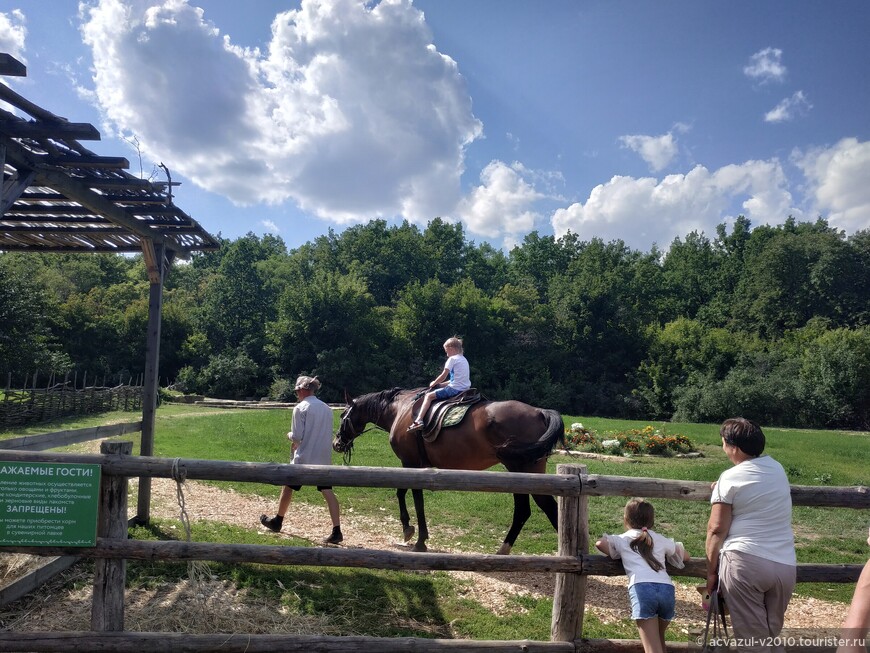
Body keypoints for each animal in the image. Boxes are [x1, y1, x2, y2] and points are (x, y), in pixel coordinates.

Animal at [334, 390, 564, 552]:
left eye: (343, 415)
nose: (336, 443)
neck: (401, 409)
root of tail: (539, 412)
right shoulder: (414, 465)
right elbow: (403, 493)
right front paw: (411, 531)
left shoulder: (410, 463)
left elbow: (412, 497)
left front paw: (416, 537)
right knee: (527, 510)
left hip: (523, 470)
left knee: (544, 508)